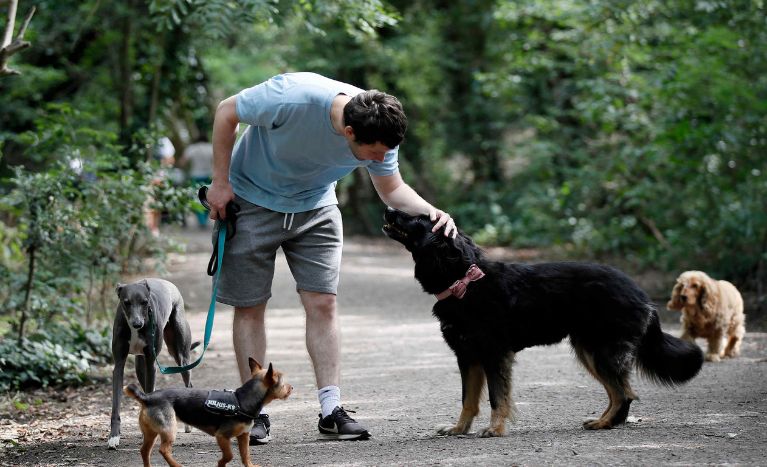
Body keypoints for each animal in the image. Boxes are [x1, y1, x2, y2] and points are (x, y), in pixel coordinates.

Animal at [109, 278, 196, 450]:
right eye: (126, 302)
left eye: (144, 302)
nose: (137, 324)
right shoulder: (119, 365)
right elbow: (116, 403)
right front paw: (114, 437)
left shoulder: (151, 363)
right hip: (140, 365)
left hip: (180, 355)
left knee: (188, 382)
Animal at [124, 360, 292, 466]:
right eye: (283, 384)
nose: (292, 388)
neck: (241, 400)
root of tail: (147, 397)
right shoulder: (222, 436)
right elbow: (229, 455)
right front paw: (220, 464)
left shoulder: (244, 436)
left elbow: (245, 455)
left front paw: (249, 465)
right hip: (169, 429)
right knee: (163, 450)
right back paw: (177, 465)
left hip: (151, 433)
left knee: (144, 451)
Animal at [384, 208, 704, 436]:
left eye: (419, 218)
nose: (388, 208)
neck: (464, 280)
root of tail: (643, 295)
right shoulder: (468, 356)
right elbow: (468, 400)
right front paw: (459, 429)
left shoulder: (493, 354)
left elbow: (497, 397)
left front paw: (496, 429)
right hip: (589, 351)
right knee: (621, 393)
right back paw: (604, 423)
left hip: (600, 352)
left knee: (624, 393)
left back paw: (604, 424)